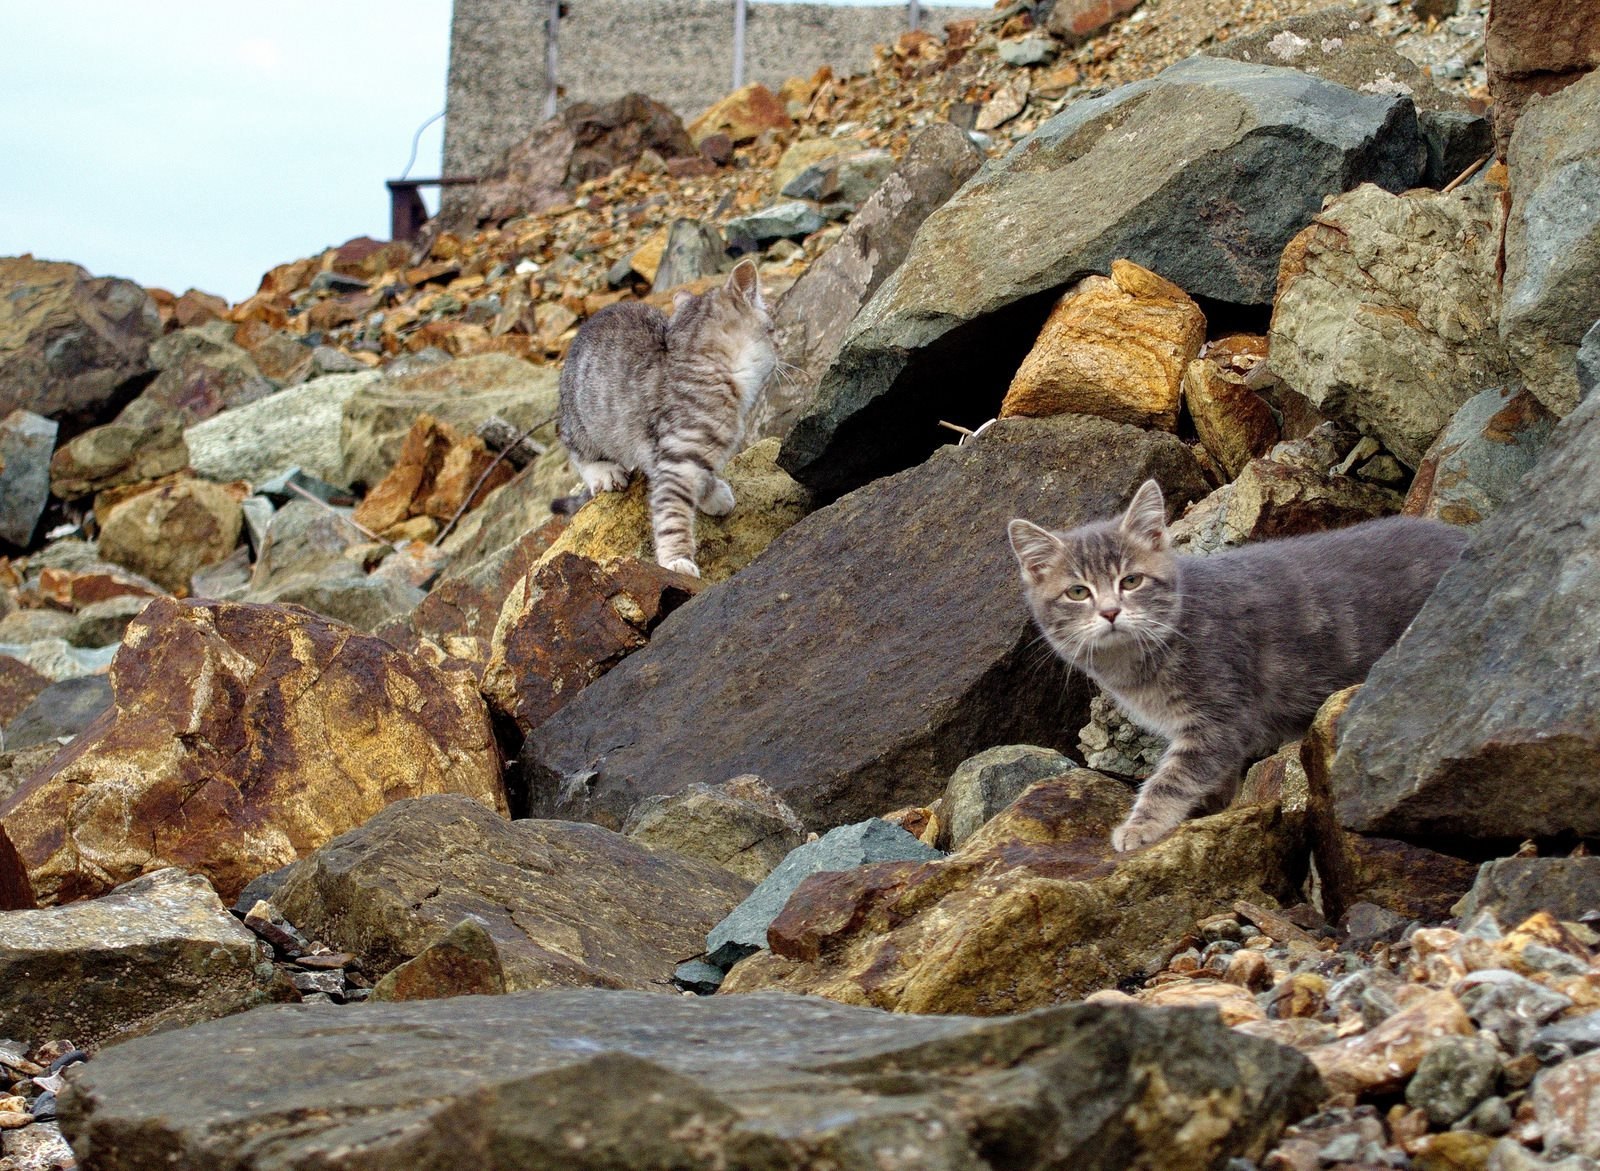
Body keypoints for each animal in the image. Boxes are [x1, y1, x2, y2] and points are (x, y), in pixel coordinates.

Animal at [556, 262, 774, 582]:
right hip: (581, 420)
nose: (777, 356)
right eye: (772, 330)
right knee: (577, 451)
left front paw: (711, 494)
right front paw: (677, 560)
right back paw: (603, 471)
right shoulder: (676, 457)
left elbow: (703, 474)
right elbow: (672, 512)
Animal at [1004, 483, 1465, 851]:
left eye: (1131, 581)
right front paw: (1215, 807)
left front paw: (1141, 825)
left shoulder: (1221, 716)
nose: (1111, 612)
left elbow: (1174, 776)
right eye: (1078, 592)